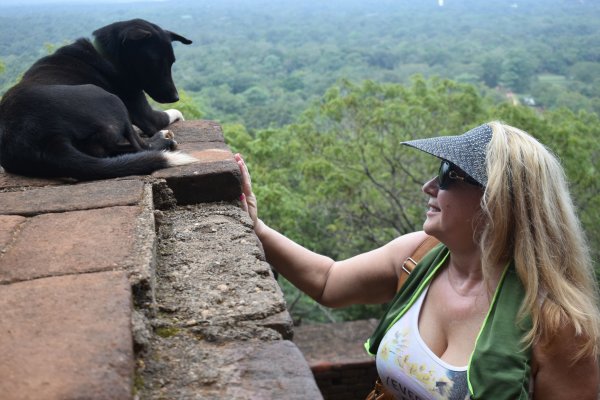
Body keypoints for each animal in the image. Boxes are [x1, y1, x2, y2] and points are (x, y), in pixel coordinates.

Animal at [0, 18, 197, 180]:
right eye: (154, 63)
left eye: (172, 62)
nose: (175, 97)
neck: (106, 55)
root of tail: (47, 141)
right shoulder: (147, 115)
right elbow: (168, 115)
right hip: (111, 99)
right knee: (141, 147)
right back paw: (163, 139)